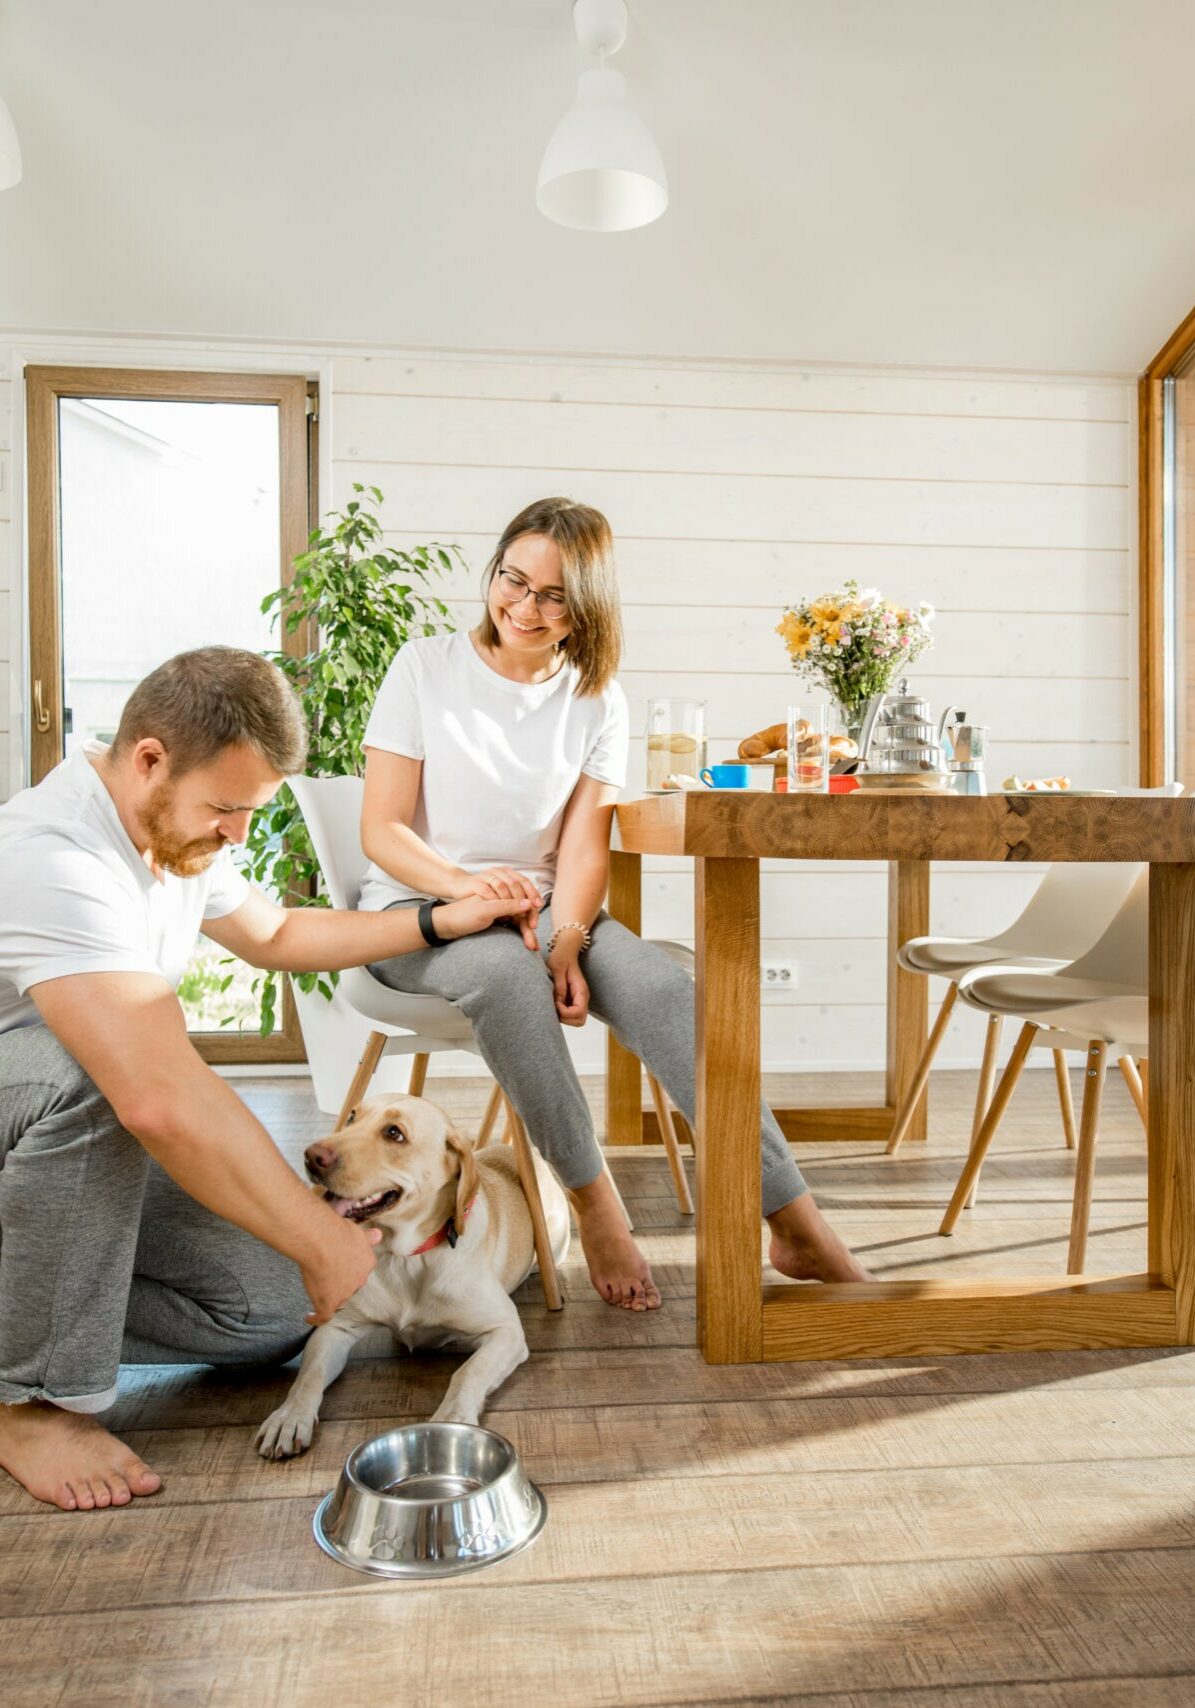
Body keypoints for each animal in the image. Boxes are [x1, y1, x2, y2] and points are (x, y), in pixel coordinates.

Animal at [256, 1093, 570, 1455]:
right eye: (351, 1117)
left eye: (394, 1133)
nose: (311, 1156)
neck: (406, 1258)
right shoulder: (335, 1328)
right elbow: (309, 1375)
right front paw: (289, 1416)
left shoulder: (506, 1332)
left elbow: (468, 1372)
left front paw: (453, 1416)